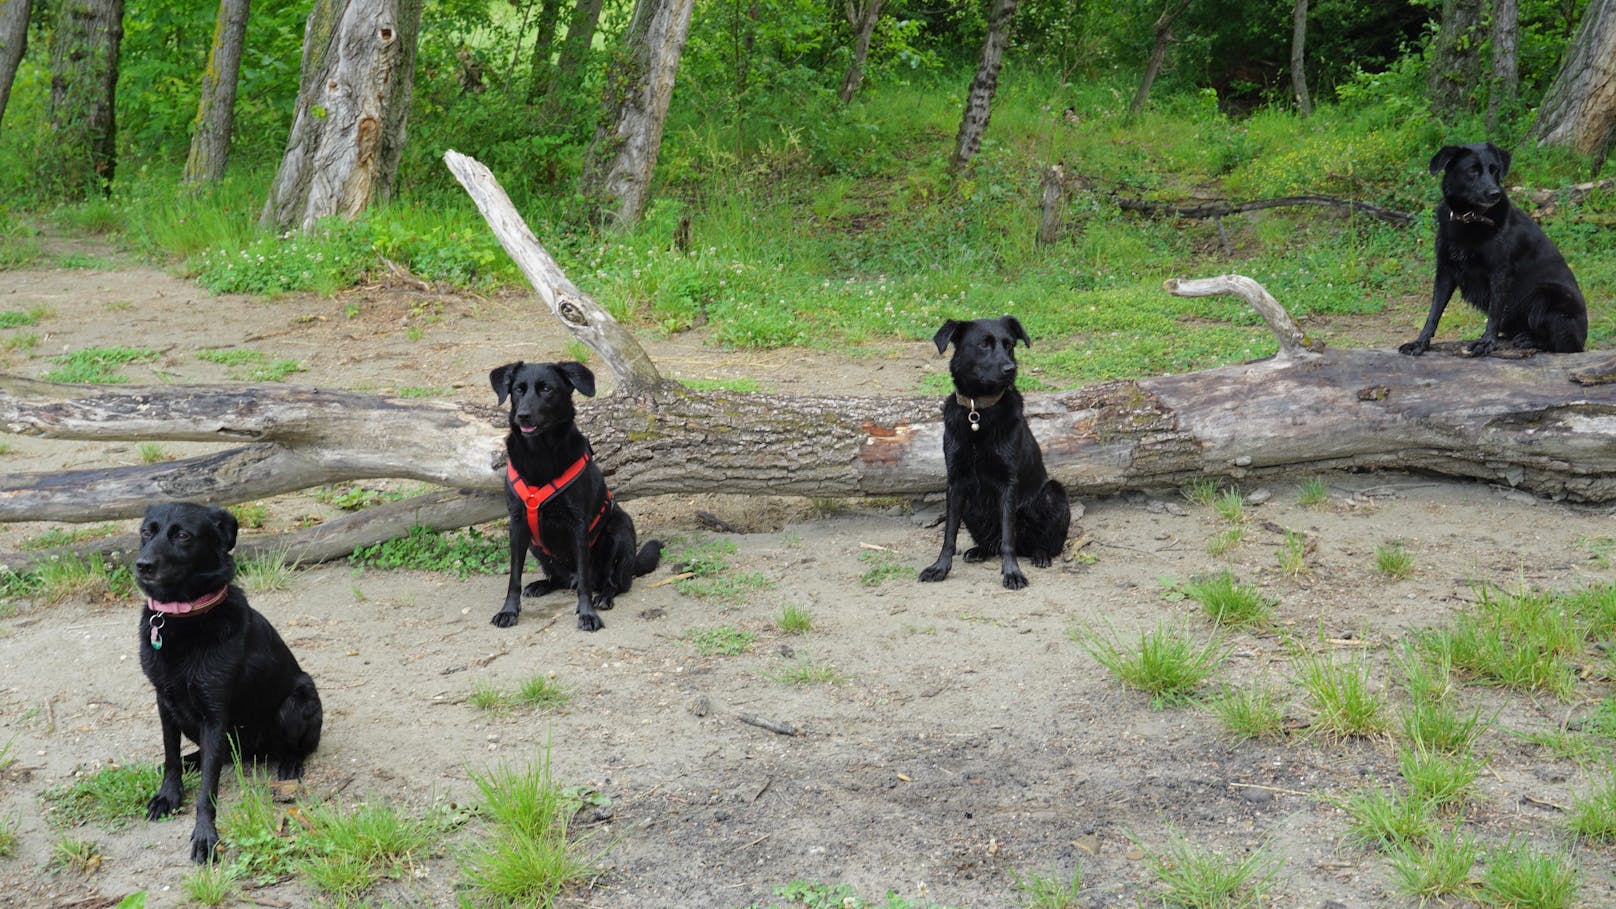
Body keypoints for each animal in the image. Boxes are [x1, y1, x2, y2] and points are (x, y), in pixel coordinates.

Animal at [135, 498, 321, 860]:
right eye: (146, 532)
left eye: (182, 535)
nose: (142, 565)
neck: (183, 619)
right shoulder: (164, 702)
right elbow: (170, 758)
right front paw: (168, 796)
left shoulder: (215, 712)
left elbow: (209, 787)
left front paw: (205, 835)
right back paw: (192, 759)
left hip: (298, 700)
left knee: (295, 747)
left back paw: (290, 765)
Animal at [488, 357, 659, 627]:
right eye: (518, 389)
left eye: (547, 389)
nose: (523, 416)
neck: (540, 454)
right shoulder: (517, 523)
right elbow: (514, 576)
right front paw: (509, 611)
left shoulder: (578, 525)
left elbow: (585, 582)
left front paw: (588, 613)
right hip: (536, 545)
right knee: (560, 578)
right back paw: (542, 585)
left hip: (620, 530)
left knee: (615, 583)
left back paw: (604, 596)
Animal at [917, 317, 1066, 588]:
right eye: (983, 345)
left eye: (1009, 345)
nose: (1011, 369)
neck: (978, 412)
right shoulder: (956, 482)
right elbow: (949, 535)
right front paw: (940, 568)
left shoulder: (1008, 483)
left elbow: (1009, 538)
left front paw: (1012, 573)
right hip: (970, 506)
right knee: (991, 543)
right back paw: (979, 551)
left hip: (1054, 493)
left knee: (1039, 543)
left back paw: (1040, 555)